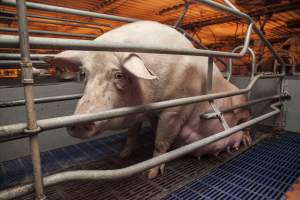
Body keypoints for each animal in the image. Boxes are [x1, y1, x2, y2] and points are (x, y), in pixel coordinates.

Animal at [44, 21, 251, 179]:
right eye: (84, 73)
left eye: (119, 75)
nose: (79, 122)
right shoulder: (139, 111)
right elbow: (132, 133)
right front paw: (123, 156)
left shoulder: (176, 108)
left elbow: (161, 141)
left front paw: (150, 175)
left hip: (242, 105)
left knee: (247, 121)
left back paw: (247, 141)